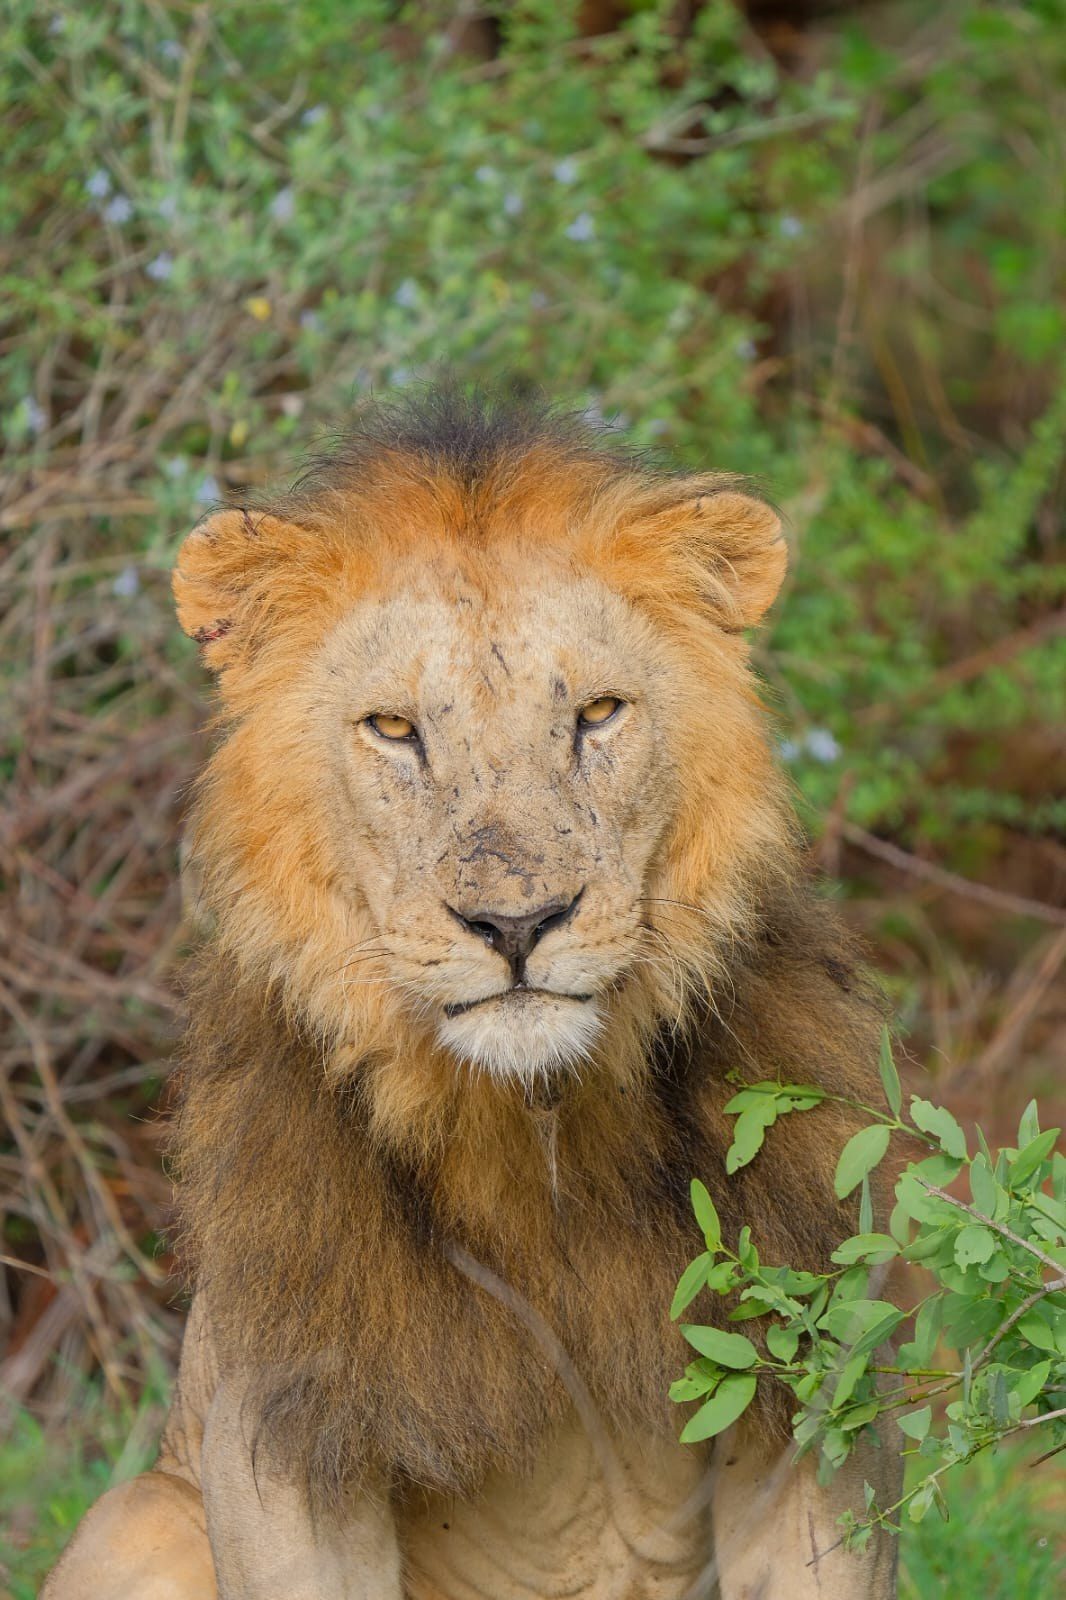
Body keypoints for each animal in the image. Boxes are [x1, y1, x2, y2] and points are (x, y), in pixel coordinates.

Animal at [44, 386, 900, 1599]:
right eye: (396, 729)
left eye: (597, 714)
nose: (516, 925)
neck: (535, 1134)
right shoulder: (282, 1429)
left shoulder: (817, 1403)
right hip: (144, 1514)